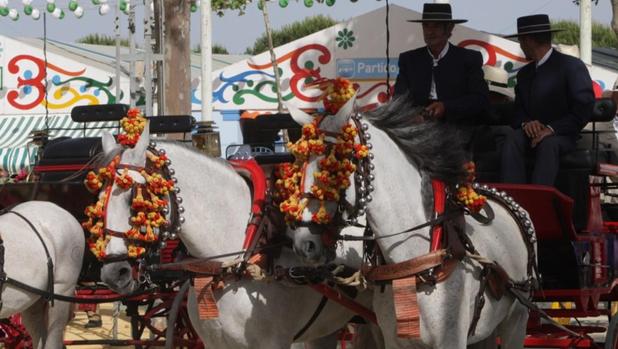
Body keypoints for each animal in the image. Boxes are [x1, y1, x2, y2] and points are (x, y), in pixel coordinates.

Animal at [284, 97, 536, 348]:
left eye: (333, 164)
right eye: (299, 165)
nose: (304, 244)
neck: (416, 263)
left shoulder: (451, 338)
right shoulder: (393, 339)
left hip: (517, 319)